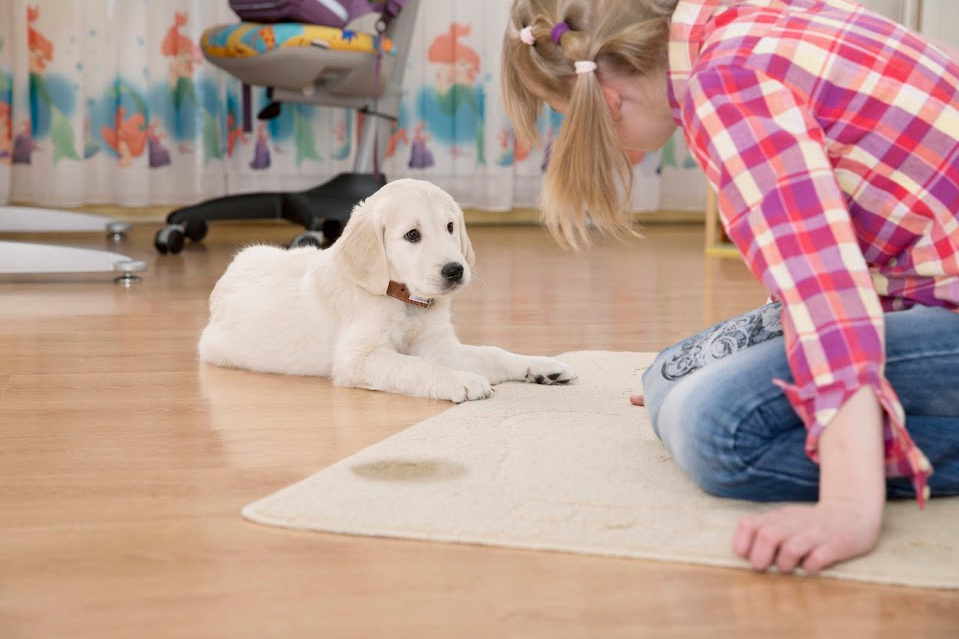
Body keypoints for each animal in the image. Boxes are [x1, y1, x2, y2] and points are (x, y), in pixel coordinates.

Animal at [198, 178, 572, 402]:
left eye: (450, 227)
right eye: (412, 235)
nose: (455, 270)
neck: (405, 301)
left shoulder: (439, 347)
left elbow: (493, 352)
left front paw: (540, 366)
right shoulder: (358, 359)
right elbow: (417, 367)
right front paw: (462, 380)